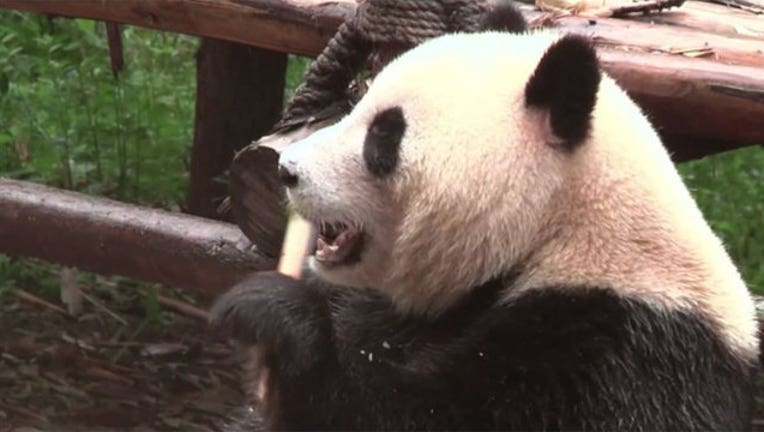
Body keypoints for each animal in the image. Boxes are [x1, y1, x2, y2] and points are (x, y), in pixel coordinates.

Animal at [210, 20, 760, 432]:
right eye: (357, 104)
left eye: (384, 137)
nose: (289, 170)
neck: (557, 232)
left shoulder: (619, 352)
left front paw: (274, 315)